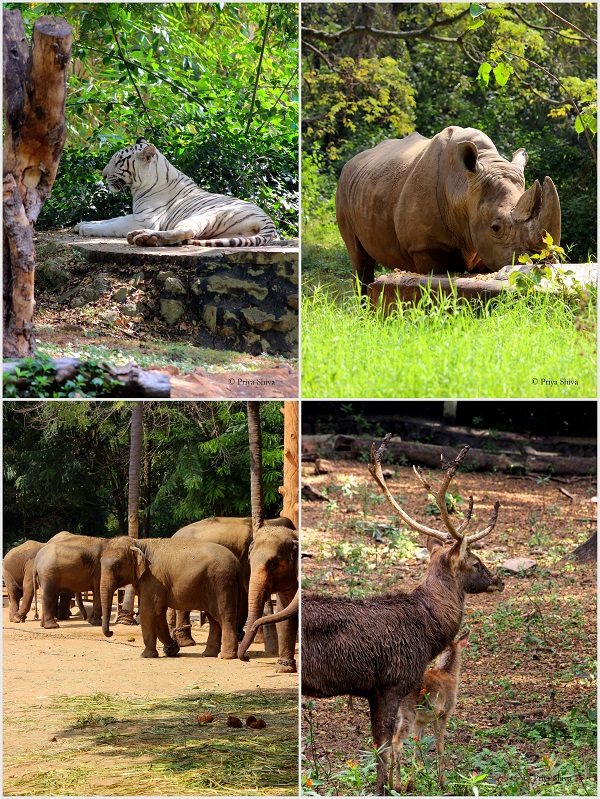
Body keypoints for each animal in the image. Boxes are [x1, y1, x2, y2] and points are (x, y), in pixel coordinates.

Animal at [75, 139, 278, 247]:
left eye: (118, 162)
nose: (103, 175)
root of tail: (268, 221)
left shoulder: (144, 219)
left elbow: (112, 225)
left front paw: (87, 229)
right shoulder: (136, 214)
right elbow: (110, 219)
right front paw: (81, 224)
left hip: (206, 215)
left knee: (186, 230)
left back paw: (145, 237)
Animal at [101, 536, 244, 656]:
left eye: (117, 565)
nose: (111, 632)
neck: (138, 543)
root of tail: (236, 562)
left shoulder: (153, 578)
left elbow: (148, 611)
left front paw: (146, 656)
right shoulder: (158, 583)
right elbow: (159, 614)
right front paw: (172, 650)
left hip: (222, 583)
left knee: (224, 617)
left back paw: (225, 656)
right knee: (214, 619)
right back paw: (208, 654)